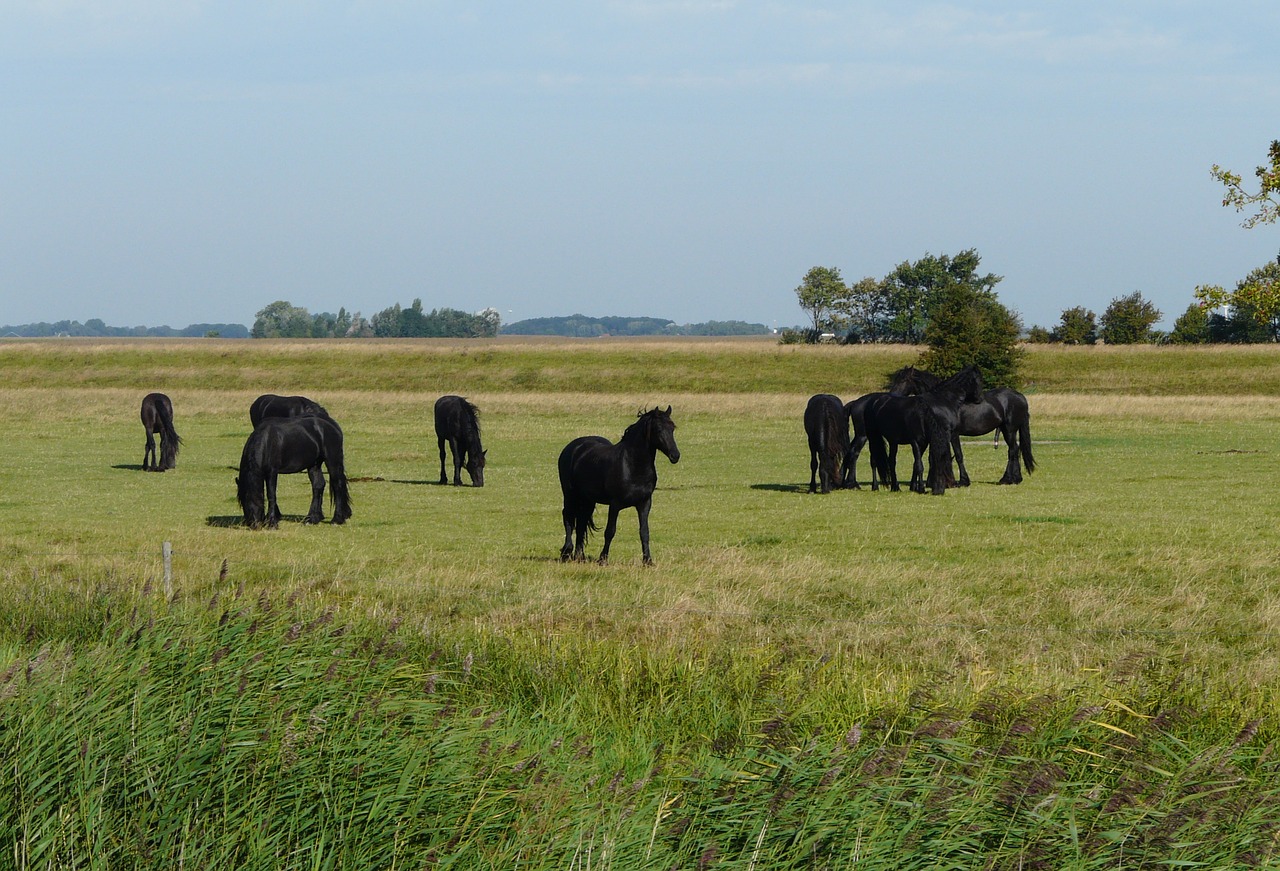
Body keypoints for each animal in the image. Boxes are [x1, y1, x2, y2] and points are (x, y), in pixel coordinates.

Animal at [558, 407, 680, 563]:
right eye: (658, 429)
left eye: (672, 428)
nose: (675, 455)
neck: (632, 466)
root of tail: (572, 447)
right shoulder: (615, 504)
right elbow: (610, 531)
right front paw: (603, 559)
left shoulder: (645, 503)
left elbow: (644, 532)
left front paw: (647, 560)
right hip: (570, 494)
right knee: (568, 517)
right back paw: (566, 552)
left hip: (588, 500)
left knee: (581, 522)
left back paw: (580, 557)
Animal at [865, 363, 983, 494]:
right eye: (979, 380)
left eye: (903, 380)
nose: (979, 398)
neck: (943, 401)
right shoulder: (947, 434)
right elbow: (947, 456)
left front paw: (915, 485)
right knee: (875, 460)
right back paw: (876, 486)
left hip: (892, 441)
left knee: (891, 461)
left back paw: (895, 487)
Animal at [890, 366, 1039, 486]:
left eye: (903, 380)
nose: (893, 395)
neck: (944, 401)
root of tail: (1020, 397)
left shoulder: (953, 434)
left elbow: (958, 455)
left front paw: (962, 481)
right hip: (1006, 429)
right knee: (1015, 449)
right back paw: (1016, 478)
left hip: (1009, 430)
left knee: (1013, 450)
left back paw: (1007, 479)